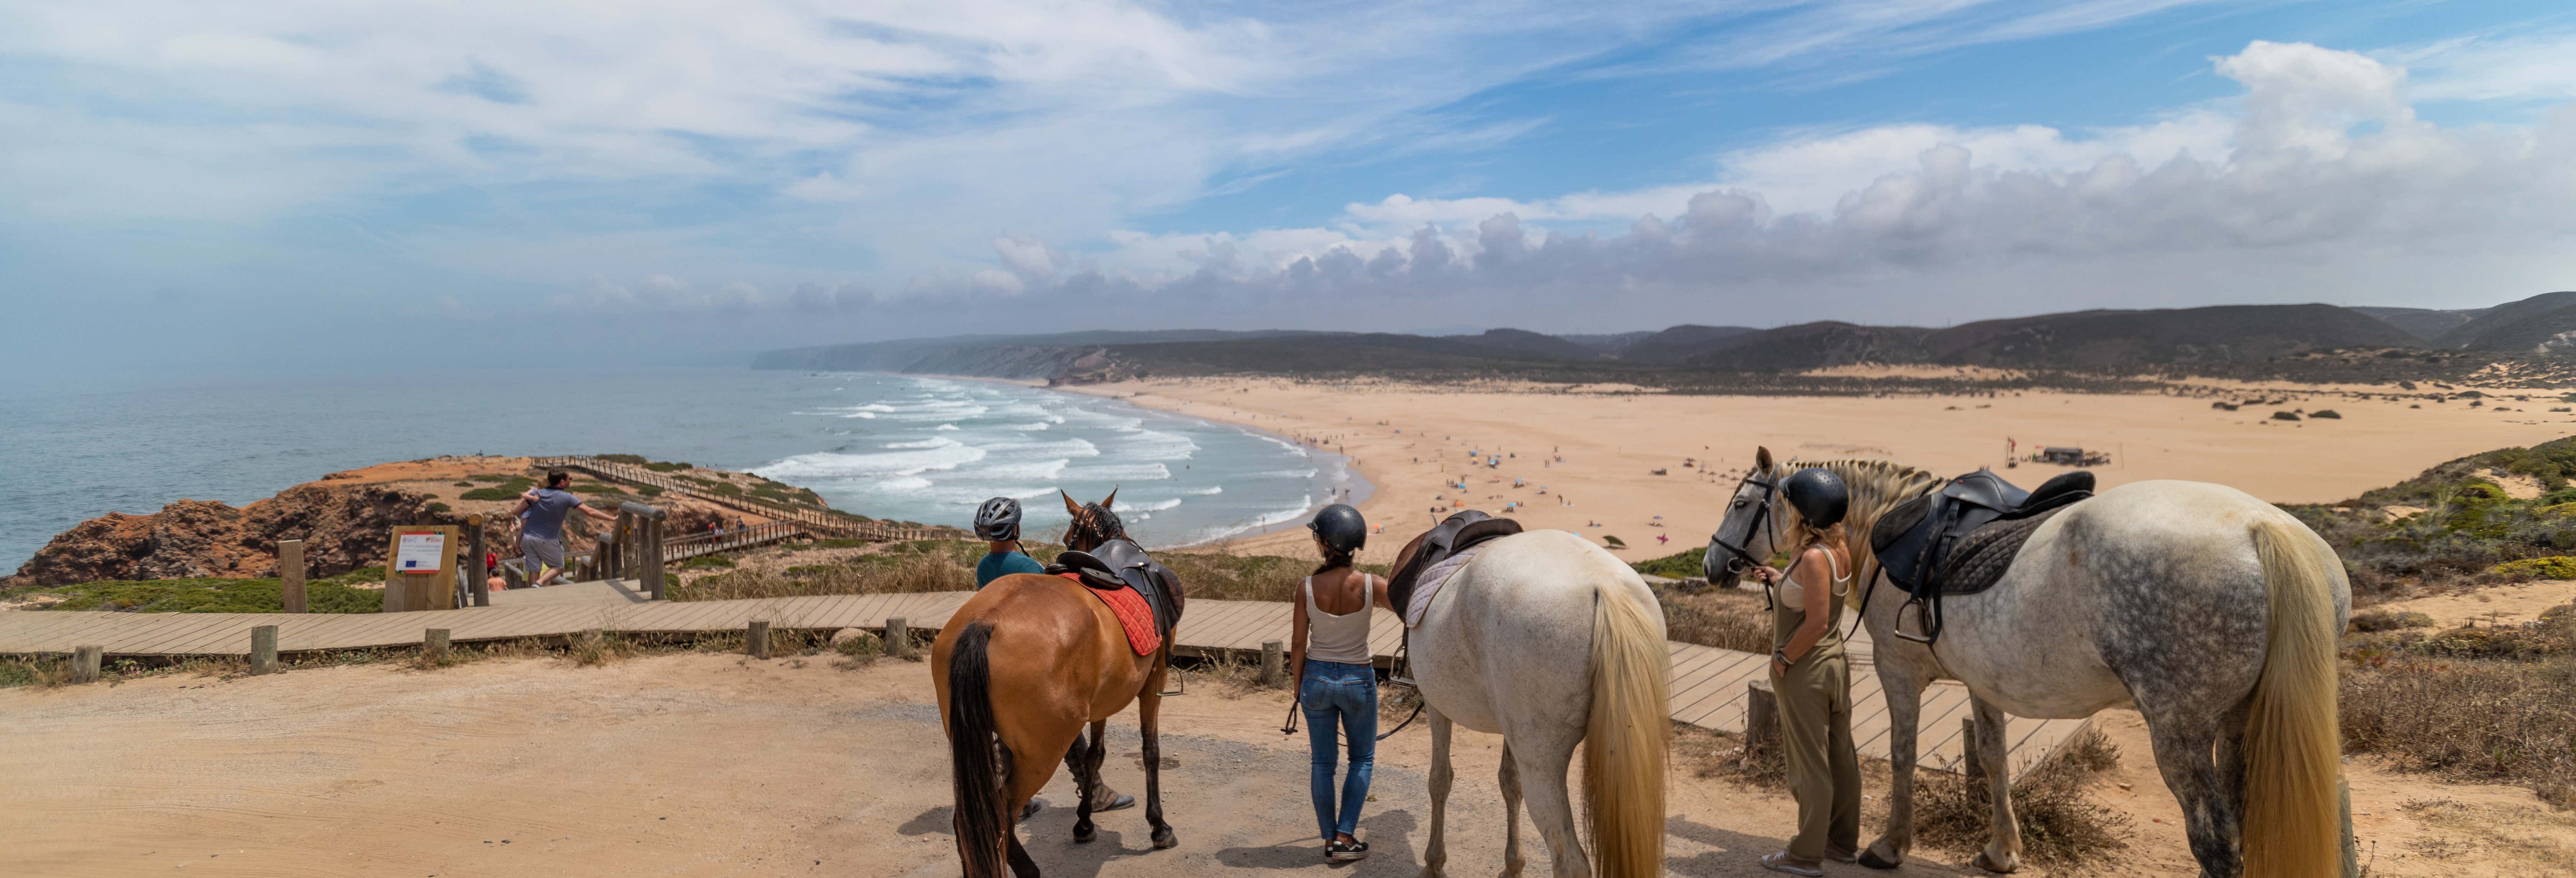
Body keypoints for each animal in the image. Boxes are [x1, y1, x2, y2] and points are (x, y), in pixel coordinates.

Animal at [932, 489, 1180, 875]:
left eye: (1066, 540)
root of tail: (985, 622)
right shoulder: (1154, 681)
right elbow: (1150, 752)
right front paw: (1159, 826)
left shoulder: (1101, 700)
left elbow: (1094, 755)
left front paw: (1085, 822)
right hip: (1041, 753)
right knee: (1001, 815)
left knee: (972, 823)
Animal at [1411, 528, 1669, 875]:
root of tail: (1604, 585)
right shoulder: (1509, 728)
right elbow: (1510, 783)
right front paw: (1513, 865)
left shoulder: (1436, 704)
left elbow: (1440, 780)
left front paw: (1434, 862)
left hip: (1542, 764)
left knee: (1570, 861)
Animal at [1710, 448, 2359, 875]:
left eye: (1741, 502)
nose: (1714, 564)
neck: (1894, 526)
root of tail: (2263, 527)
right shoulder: (1982, 682)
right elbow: (1993, 758)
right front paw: (2002, 850)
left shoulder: (1899, 671)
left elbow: (1902, 754)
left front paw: (1890, 845)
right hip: (2246, 720)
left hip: (2182, 728)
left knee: (2216, 838)